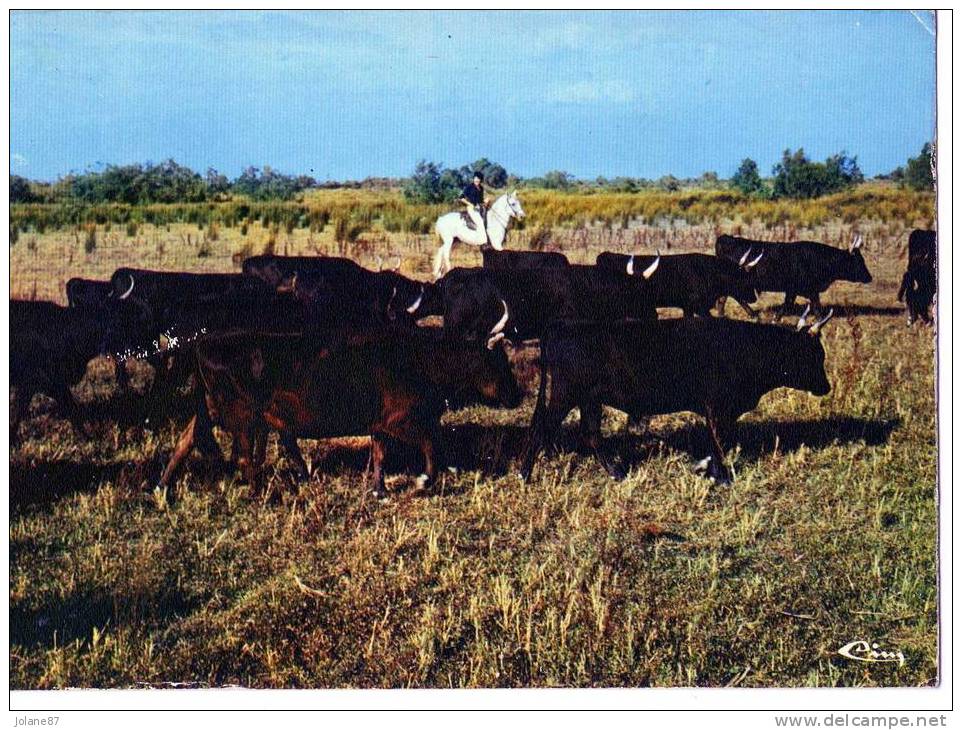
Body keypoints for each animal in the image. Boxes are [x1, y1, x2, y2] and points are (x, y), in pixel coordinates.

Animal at [520, 312, 828, 484]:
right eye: (814, 354)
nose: (827, 387)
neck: (747, 346)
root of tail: (564, 324)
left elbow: (718, 442)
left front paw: (707, 468)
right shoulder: (718, 407)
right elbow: (720, 441)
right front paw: (722, 477)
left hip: (589, 400)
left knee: (592, 434)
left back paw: (617, 473)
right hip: (564, 395)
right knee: (540, 430)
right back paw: (525, 475)